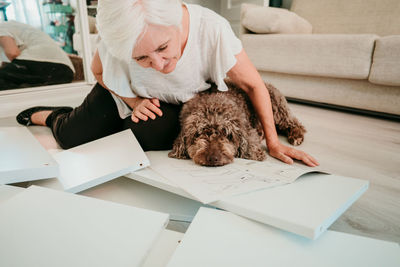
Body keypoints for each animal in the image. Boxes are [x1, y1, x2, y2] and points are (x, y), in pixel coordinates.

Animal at [167, 80, 304, 166]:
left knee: (293, 123)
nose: (213, 158)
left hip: (276, 106)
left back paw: (296, 135)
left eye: (227, 135)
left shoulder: (248, 130)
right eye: (199, 134)